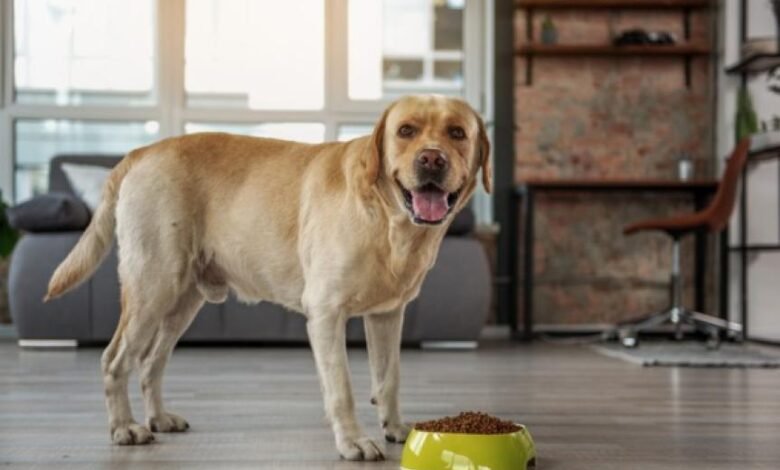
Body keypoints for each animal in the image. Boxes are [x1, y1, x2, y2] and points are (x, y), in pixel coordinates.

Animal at [45, 93, 490, 460]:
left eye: (457, 133)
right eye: (405, 131)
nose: (432, 159)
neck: (387, 217)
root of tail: (142, 150)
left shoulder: (386, 316)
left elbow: (389, 378)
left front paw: (395, 427)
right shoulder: (326, 314)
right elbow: (341, 388)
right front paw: (353, 441)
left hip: (183, 301)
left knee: (151, 362)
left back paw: (158, 418)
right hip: (153, 287)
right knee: (115, 359)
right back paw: (124, 428)